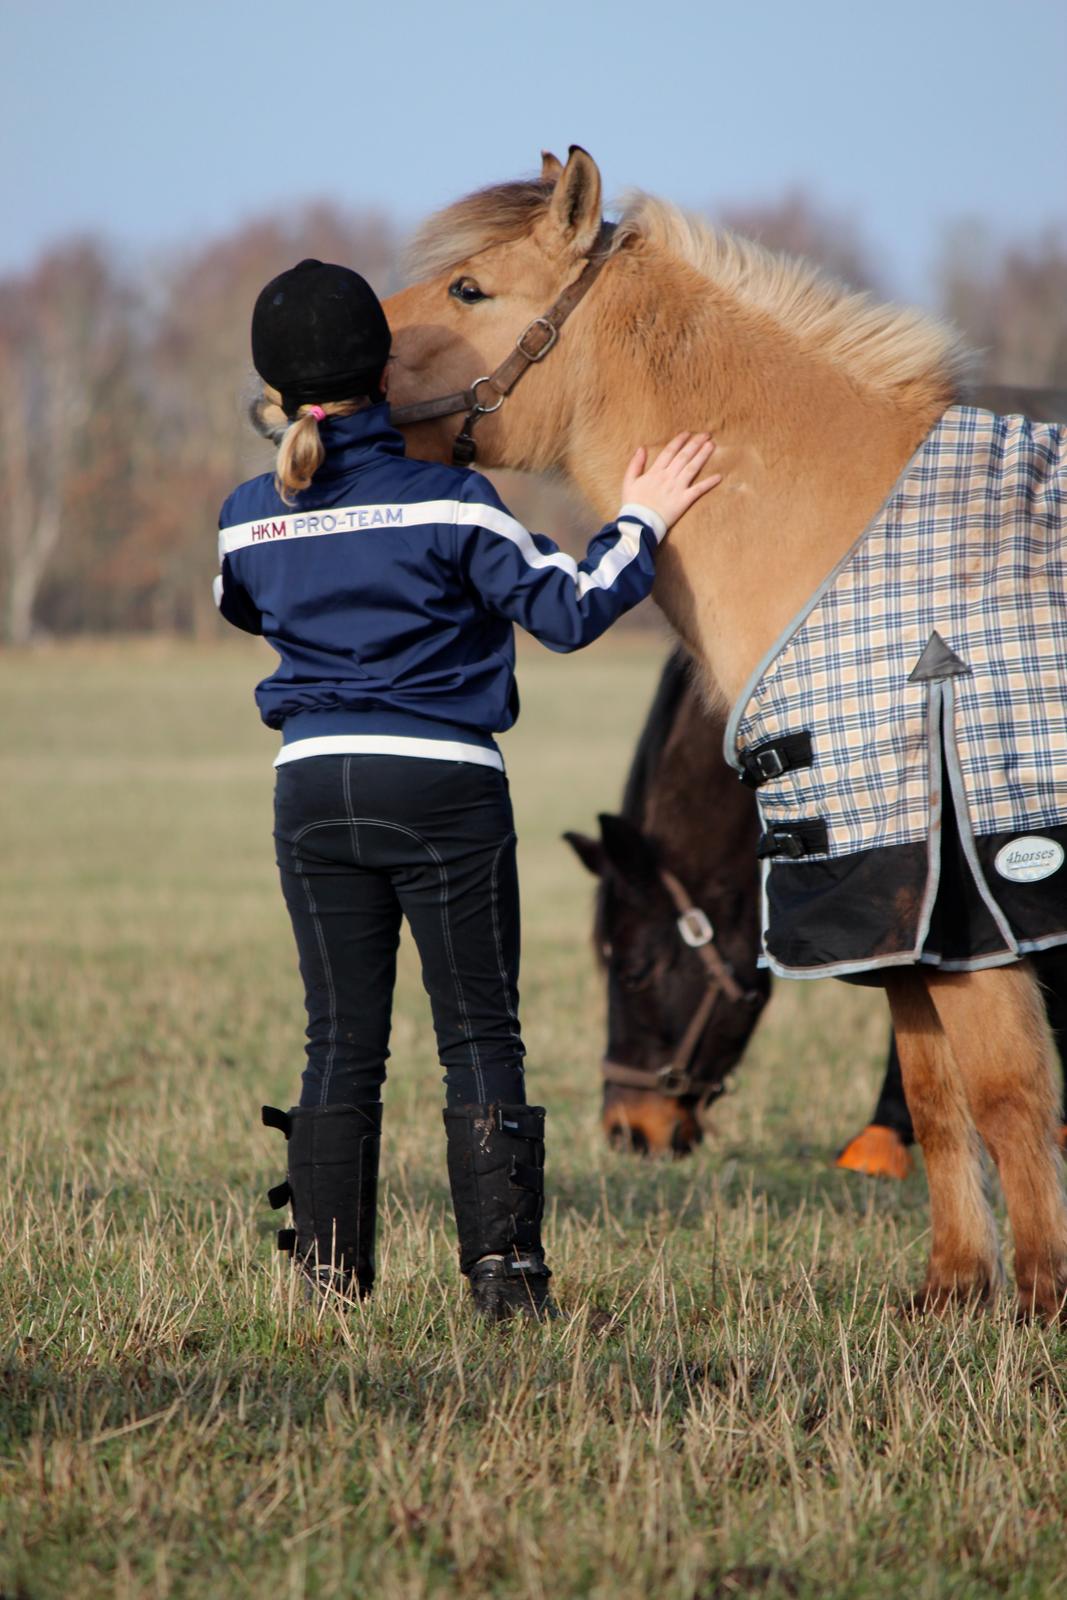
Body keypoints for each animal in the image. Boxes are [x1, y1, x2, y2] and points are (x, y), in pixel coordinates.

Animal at [383, 147, 1067, 1312]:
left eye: (469, 289)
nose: (632, 1127)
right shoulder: (888, 900)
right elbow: (936, 1091)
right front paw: (952, 1287)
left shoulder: (974, 900)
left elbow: (1006, 1090)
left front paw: (1038, 1293)